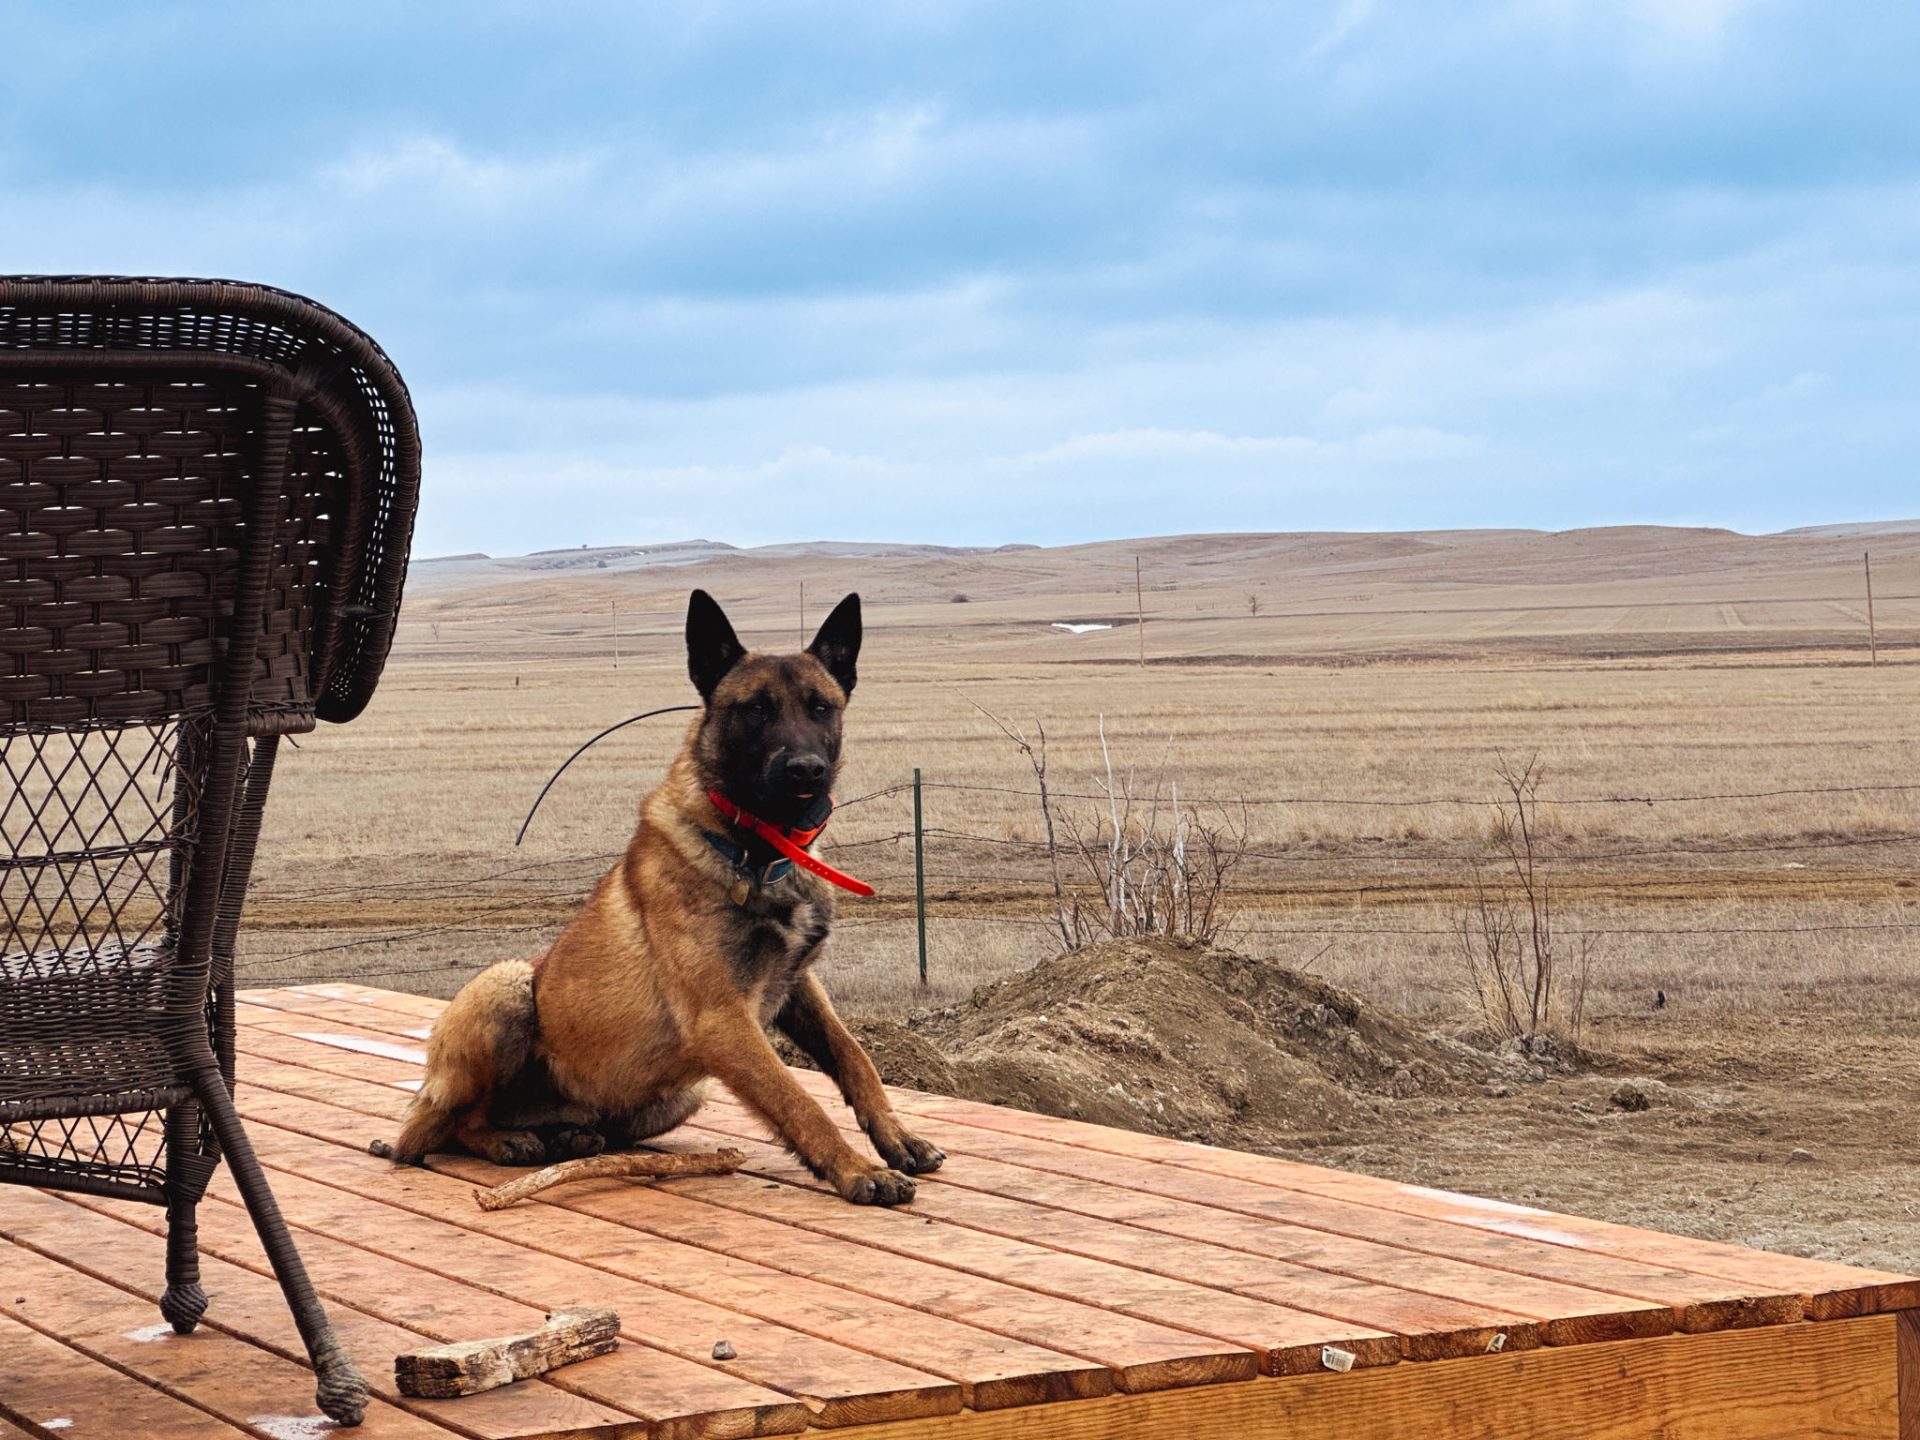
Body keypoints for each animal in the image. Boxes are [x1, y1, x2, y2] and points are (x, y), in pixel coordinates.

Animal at [393, 587, 948, 1205]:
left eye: (821, 707)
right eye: (755, 709)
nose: (807, 771)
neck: (759, 850)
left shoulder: (797, 985)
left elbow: (854, 1057)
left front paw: (898, 1138)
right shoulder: (723, 1022)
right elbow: (798, 1100)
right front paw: (857, 1169)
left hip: (683, 1091)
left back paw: (569, 1136)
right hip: (507, 982)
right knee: (453, 1124)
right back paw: (509, 1142)